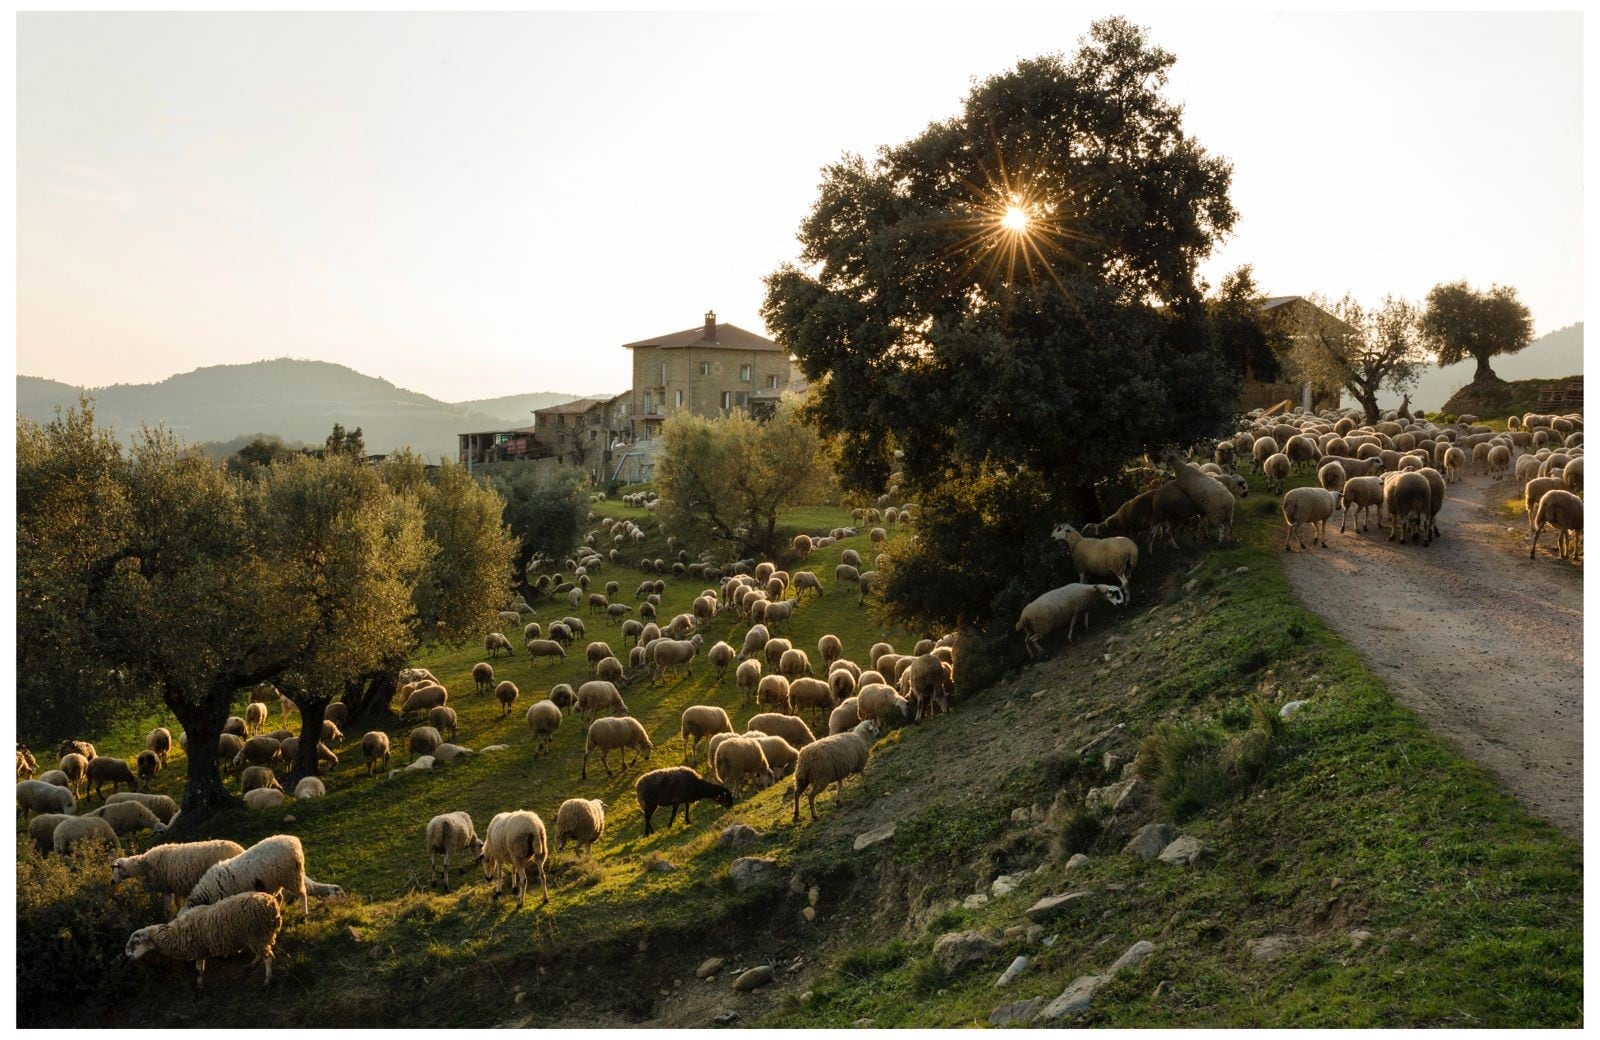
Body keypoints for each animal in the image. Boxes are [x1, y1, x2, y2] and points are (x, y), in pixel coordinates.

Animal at [114, 832, 246, 908]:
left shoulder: (165, 887)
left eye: (115, 868)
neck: (144, 865)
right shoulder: (175, 885)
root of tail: (240, 849)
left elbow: (167, 909)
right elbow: (177, 903)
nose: (112, 882)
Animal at [124, 883, 284, 985]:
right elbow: (199, 969)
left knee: (268, 957)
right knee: (262, 953)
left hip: (257, 934)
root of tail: (272, 902)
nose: (129, 958)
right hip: (256, 936)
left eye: (137, 943)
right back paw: (253, 964)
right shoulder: (199, 949)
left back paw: (267, 980)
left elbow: (199, 970)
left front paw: (199, 986)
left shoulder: (198, 949)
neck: (176, 932)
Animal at [181, 832, 312, 908]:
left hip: (293, 875)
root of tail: (294, 840)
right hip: (275, 881)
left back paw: (304, 913)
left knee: (302, 893)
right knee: (280, 897)